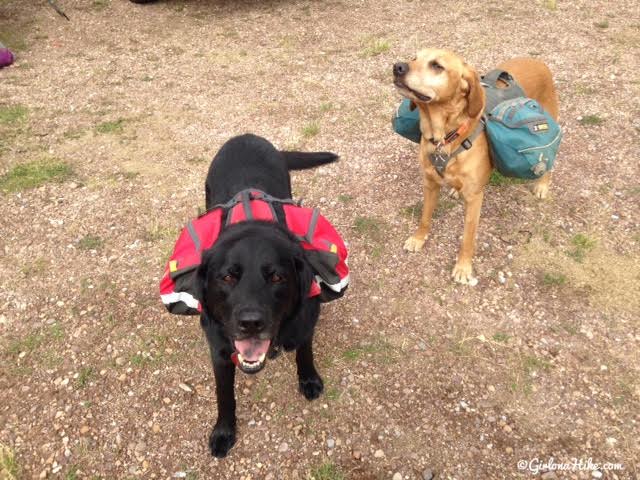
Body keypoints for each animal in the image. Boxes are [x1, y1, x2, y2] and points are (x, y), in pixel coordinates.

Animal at [196, 133, 340, 456]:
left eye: (276, 276)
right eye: (227, 276)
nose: (251, 323)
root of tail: (247, 136)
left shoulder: (305, 321)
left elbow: (304, 351)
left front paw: (309, 378)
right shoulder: (220, 350)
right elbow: (224, 394)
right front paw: (224, 431)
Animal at [392, 49, 556, 284]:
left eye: (437, 66)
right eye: (414, 57)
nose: (397, 67)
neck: (446, 137)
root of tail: (537, 61)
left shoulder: (474, 199)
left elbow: (467, 239)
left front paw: (463, 267)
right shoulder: (430, 184)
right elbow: (424, 218)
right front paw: (418, 238)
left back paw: (542, 185)